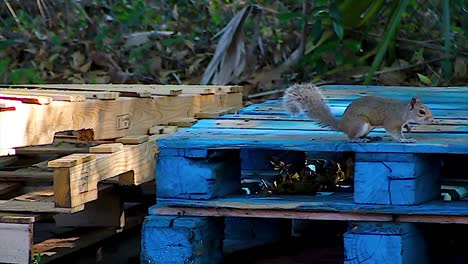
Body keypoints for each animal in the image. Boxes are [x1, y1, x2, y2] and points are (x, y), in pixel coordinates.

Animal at [280, 83, 434, 143]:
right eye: (421, 112)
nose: (431, 119)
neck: (404, 111)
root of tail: (342, 125)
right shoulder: (393, 121)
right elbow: (395, 132)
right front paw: (406, 140)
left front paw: (408, 128)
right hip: (360, 123)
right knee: (350, 137)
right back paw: (359, 139)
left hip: (368, 127)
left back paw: (372, 137)